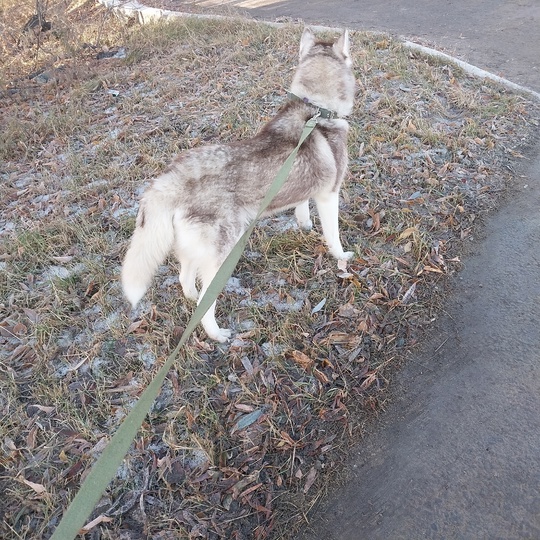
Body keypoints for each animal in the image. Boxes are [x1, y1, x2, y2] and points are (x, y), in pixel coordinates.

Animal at [123, 27, 358, 340]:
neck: (316, 109)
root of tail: (172, 178)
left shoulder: (308, 189)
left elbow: (301, 206)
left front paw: (305, 225)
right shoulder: (329, 195)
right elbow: (333, 236)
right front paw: (341, 256)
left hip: (193, 251)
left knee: (186, 279)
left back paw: (190, 297)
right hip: (223, 253)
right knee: (206, 301)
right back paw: (217, 335)